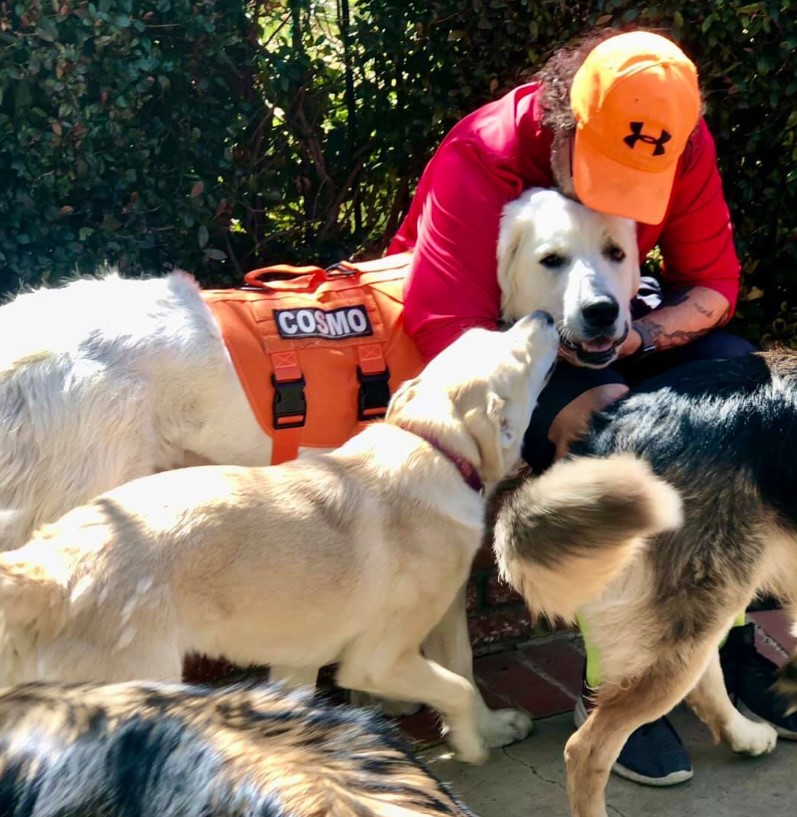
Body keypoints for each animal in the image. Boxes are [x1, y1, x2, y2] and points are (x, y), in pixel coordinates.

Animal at [0, 316, 560, 760]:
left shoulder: (299, 658)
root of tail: (48, 567)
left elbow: (458, 669)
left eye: (482, 334)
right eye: (518, 354)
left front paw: (490, 729)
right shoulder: (377, 659)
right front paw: (471, 740)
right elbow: (459, 684)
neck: (432, 445)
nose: (546, 316)